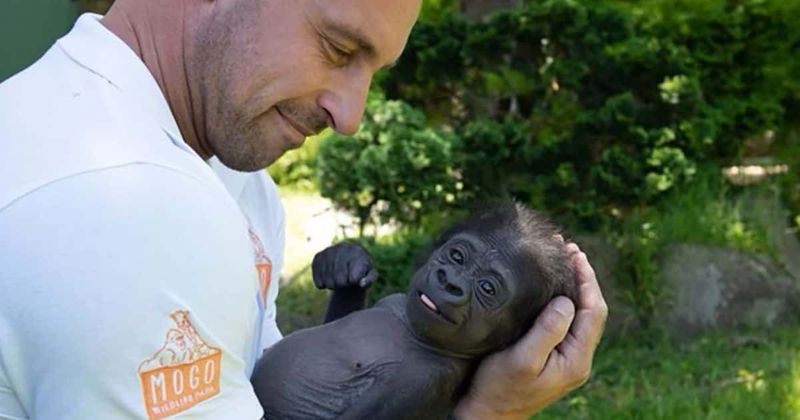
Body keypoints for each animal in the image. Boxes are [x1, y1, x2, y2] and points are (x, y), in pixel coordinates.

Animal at [251, 202, 578, 420]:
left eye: (487, 288)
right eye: (457, 257)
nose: (450, 282)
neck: (414, 332)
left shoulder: (420, 382)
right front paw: (346, 268)